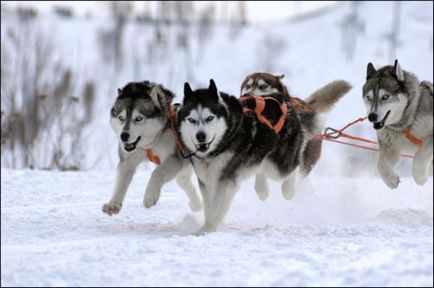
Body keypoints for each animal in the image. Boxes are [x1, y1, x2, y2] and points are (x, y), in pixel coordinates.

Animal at [102, 81, 202, 216]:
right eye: (121, 118)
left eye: (138, 118)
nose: (123, 136)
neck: (149, 145)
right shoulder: (127, 161)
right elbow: (120, 183)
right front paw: (113, 204)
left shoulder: (175, 158)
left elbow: (156, 172)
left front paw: (150, 196)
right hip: (182, 173)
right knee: (185, 183)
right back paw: (197, 205)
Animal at [241, 71, 352, 200]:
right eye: (247, 86)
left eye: (263, 86)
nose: (247, 94)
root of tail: (309, 106)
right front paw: (262, 189)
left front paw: (287, 189)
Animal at [364, 59, 432, 188]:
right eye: (369, 98)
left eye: (385, 96)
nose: (371, 116)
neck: (406, 125)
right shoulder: (390, 147)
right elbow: (380, 163)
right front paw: (390, 179)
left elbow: (419, 158)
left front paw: (420, 178)